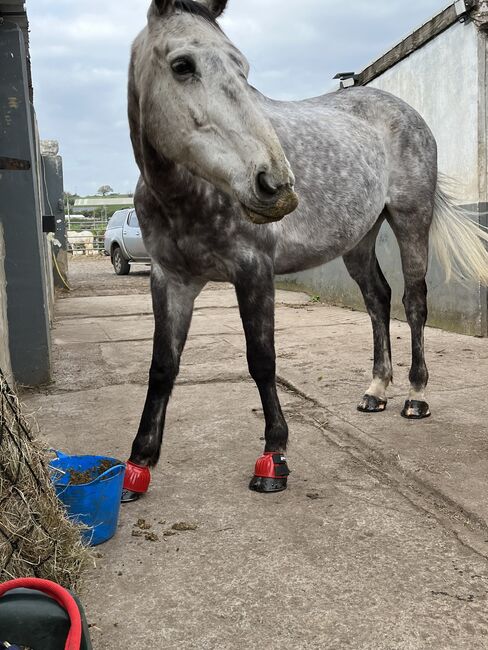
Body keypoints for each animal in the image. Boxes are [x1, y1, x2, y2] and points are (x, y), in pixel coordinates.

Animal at [122, 0, 488, 498]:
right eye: (182, 65)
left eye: (243, 68)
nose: (275, 185)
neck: (186, 194)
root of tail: (406, 112)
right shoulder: (171, 279)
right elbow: (162, 365)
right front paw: (138, 464)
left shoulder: (253, 271)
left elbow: (262, 361)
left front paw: (274, 456)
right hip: (359, 239)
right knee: (378, 299)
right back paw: (376, 391)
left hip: (411, 221)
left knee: (414, 302)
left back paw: (415, 396)